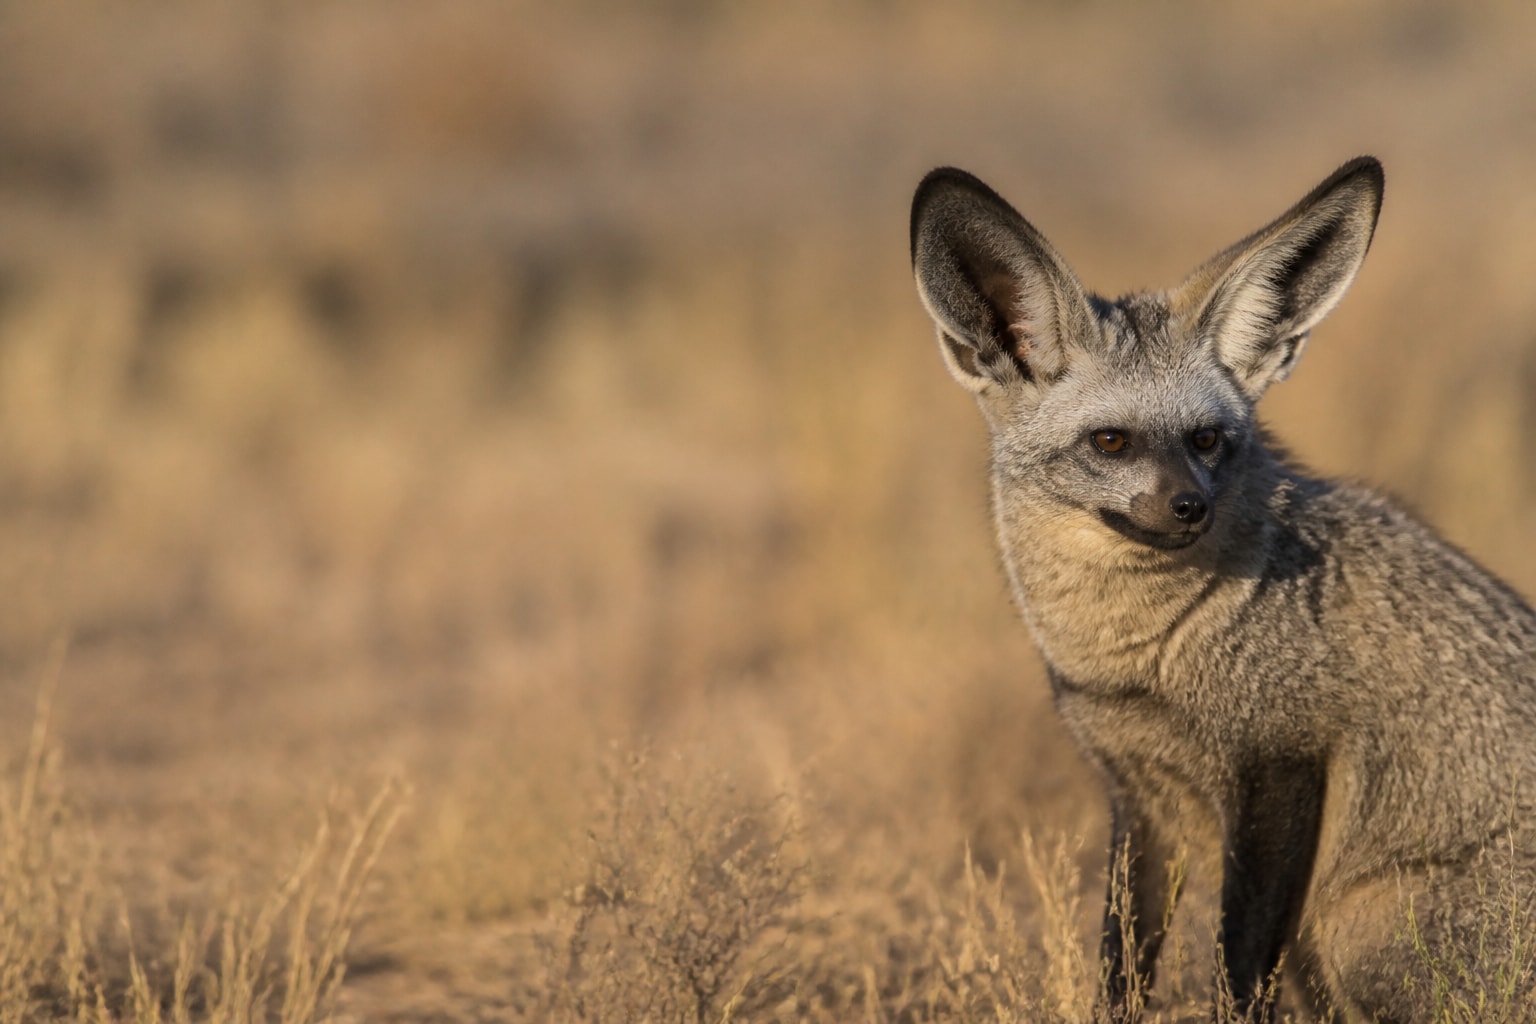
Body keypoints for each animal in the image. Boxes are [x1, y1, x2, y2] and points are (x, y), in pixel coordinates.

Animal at [909, 157, 1536, 1022]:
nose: (1189, 507)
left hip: (1357, 933)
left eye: (1206, 440)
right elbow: (1122, 969)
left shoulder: (1283, 764)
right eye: (1111, 441)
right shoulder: (1140, 798)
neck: (1141, 662)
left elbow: (1238, 970)